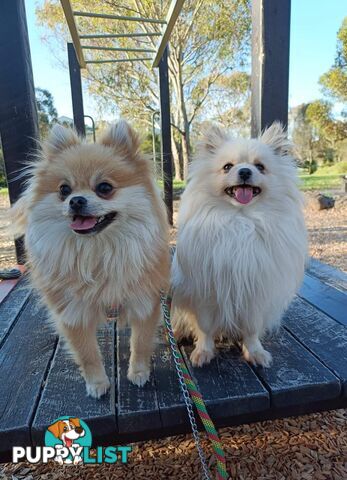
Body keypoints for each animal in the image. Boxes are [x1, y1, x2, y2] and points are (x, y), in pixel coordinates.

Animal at [12, 120, 171, 398]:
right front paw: (97, 383)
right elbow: (87, 353)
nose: (76, 200)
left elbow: (140, 343)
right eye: (64, 190)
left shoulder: (145, 301)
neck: (97, 252)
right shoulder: (73, 312)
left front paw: (138, 372)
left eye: (104, 188)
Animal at [173, 123, 308, 368]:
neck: (241, 220)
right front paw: (203, 352)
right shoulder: (206, 292)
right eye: (227, 167)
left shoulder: (254, 294)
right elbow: (205, 328)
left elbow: (251, 330)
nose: (245, 171)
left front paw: (255, 352)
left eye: (260, 167)